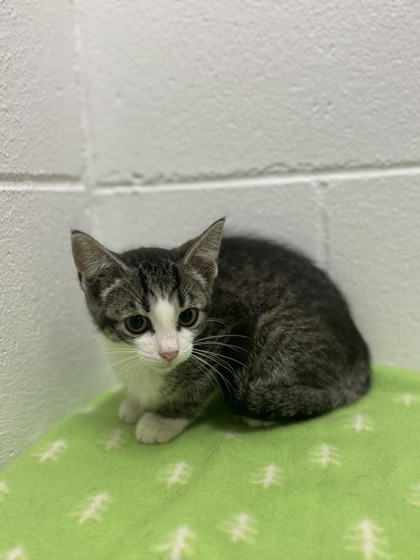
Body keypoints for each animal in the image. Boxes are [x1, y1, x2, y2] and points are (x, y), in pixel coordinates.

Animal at [71, 218, 370, 442]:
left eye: (188, 316)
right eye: (136, 323)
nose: (169, 352)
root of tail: (361, 353)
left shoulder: (226, 334)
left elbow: (198, 386)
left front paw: (163, 419)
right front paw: (136, 402)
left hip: (274, 332)